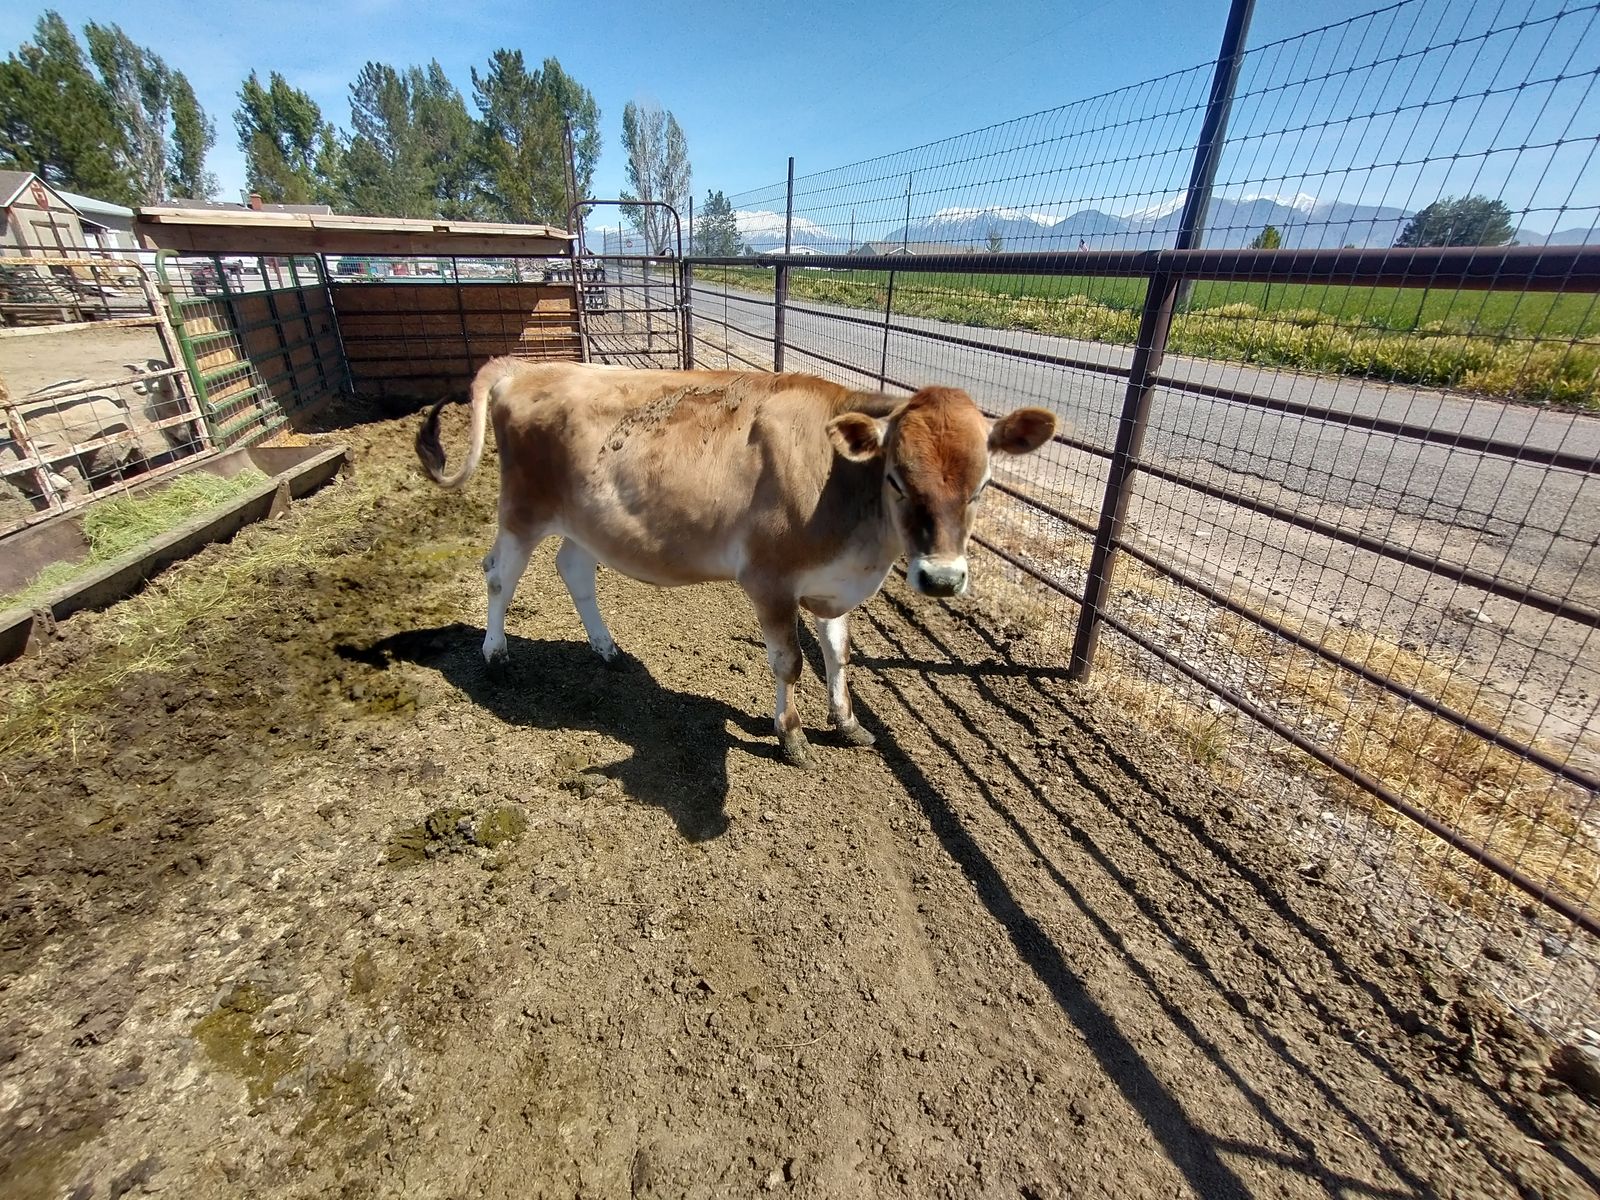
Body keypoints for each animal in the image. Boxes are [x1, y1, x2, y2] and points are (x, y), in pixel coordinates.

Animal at [416, 358, 1056, 767]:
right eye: (897, 478)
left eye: (981, 487)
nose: (942, 579)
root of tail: (528, 366)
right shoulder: (770, 580)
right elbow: (790, 663)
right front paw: (792, 739)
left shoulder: (832, 583)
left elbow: (839, 653)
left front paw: (848, 724)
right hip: (522, 510)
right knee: (498, 575)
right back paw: (496, 654)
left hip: (587, 521)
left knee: (574, 570)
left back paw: (605, 647)